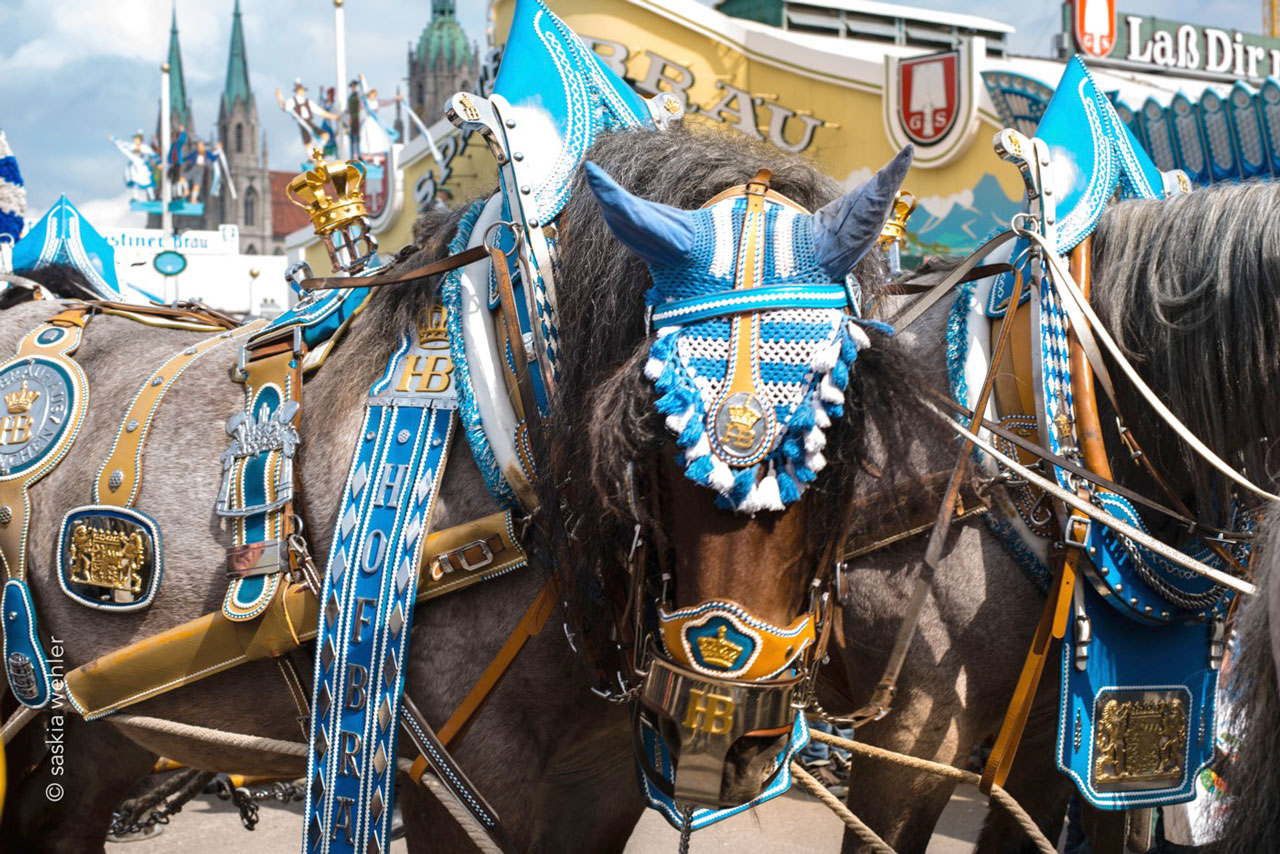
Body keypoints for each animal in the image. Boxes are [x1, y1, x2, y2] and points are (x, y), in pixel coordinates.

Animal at [2, 126, 921, 854]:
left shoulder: (595, 791)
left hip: (96, 731)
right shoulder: (445, 783)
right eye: (653, 414)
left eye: (838, 419)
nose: (719, 725)